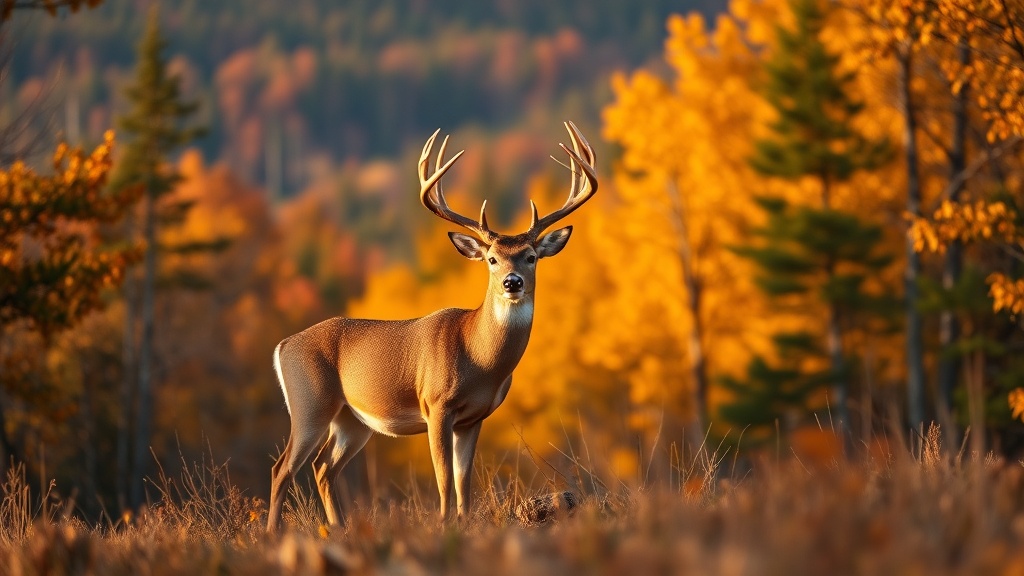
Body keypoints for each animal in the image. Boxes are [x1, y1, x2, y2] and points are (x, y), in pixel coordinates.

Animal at [266, 122, 597, 533]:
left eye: (532, 256)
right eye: (491, 258)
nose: (512, 282)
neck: (479, 359)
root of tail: (283, 346)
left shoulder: (473, 417)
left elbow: (463, 479)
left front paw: (465, 523)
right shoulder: (436, 405)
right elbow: (443, 479)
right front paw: (443, 525)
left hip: (352, 419)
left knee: (323, 468)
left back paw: (340, 529)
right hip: (310, 402)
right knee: (282, 468)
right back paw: (272, 533)